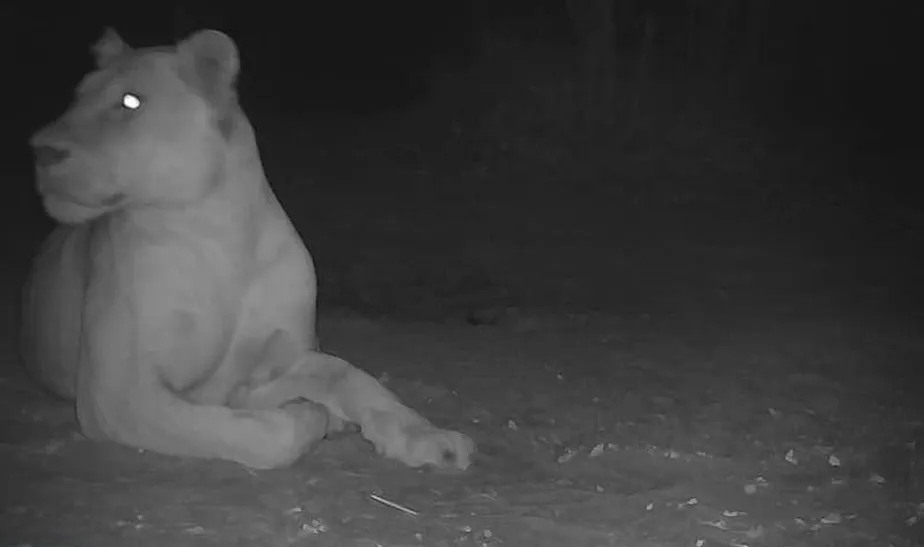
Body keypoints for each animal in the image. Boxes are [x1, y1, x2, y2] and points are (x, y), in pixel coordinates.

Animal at [21, 30, 476, 474]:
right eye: (77, 95)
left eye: (130, 101)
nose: (40, 150)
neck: (221, 236)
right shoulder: (119, 396)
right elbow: (260, 432)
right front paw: (311, 416)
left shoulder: (271, 364)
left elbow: (349, 375)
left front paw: (431, 439)